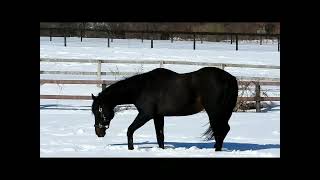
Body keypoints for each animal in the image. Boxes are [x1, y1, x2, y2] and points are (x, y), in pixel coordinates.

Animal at [90, 67, 238, 151]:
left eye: (98, 111)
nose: (98, 132)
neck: (141, 88)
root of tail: (230, 79)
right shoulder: (158, 116)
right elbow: (160, 136)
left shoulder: (146, 115)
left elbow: (130, 130)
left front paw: (130, 148)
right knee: (223, 130)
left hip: (214, 112)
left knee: (220, 130)